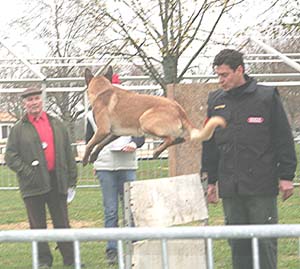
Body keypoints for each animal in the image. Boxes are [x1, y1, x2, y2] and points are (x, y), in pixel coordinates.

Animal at [82, 67, 225, 165]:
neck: (102, 90)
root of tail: (179, 110)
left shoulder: (103, 130)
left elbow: (89, 144)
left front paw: (84, 159)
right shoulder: (113, 133)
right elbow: (100, 145)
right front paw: (93, 156)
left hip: (145, 121)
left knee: (170, 138)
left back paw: (156, 152)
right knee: (180, 139)